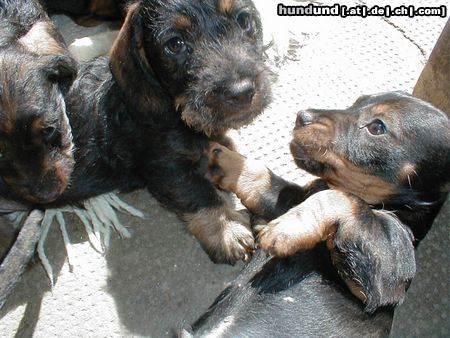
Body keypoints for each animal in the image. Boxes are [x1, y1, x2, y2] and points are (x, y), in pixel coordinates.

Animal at [108, 0, 270, 264]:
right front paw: (226, 229)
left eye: (244, 20)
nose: (242, 92)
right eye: (175, 44)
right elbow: (198, 192)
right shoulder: (163, 166)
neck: (175, 111)